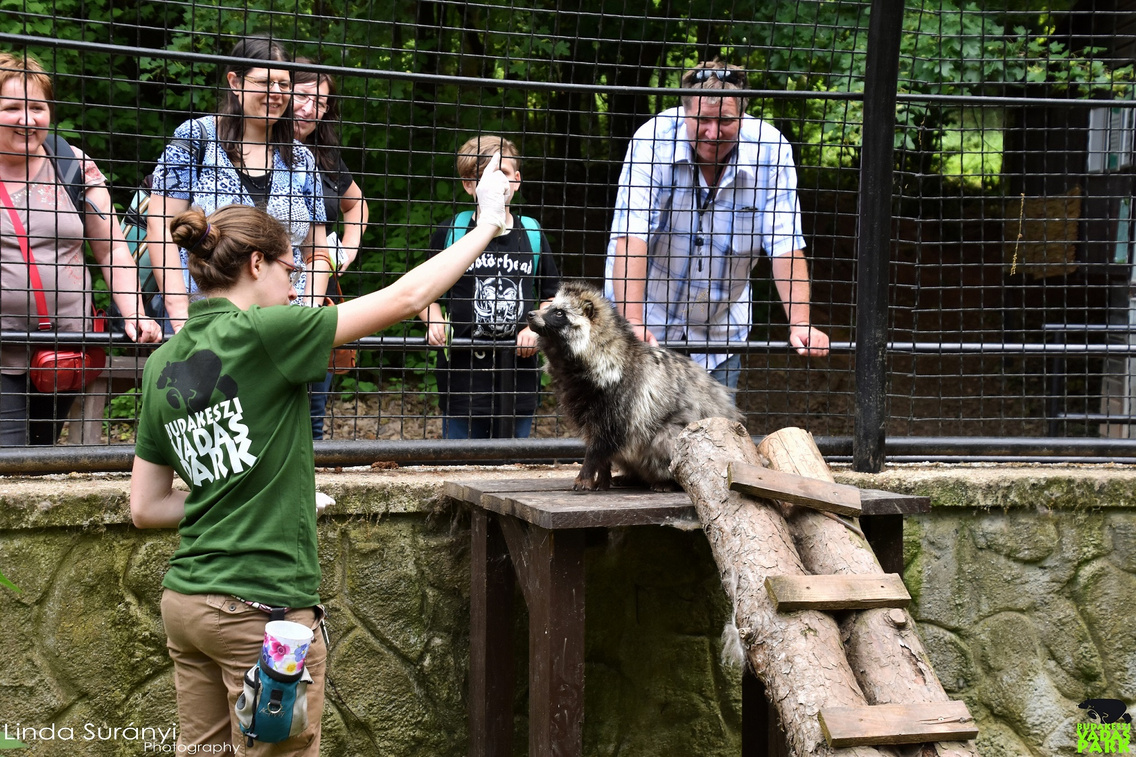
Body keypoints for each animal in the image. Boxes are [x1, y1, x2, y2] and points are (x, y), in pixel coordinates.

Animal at [524, 279, 740, 493]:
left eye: (559, 312)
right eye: (549, 306)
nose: (530, 314)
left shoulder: (621, 404)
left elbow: (599, 446)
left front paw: (585, 474)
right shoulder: (582, 401)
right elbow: (599, 446)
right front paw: (602, 477)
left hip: (676, 432)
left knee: (666, 441)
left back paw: (667, 481)